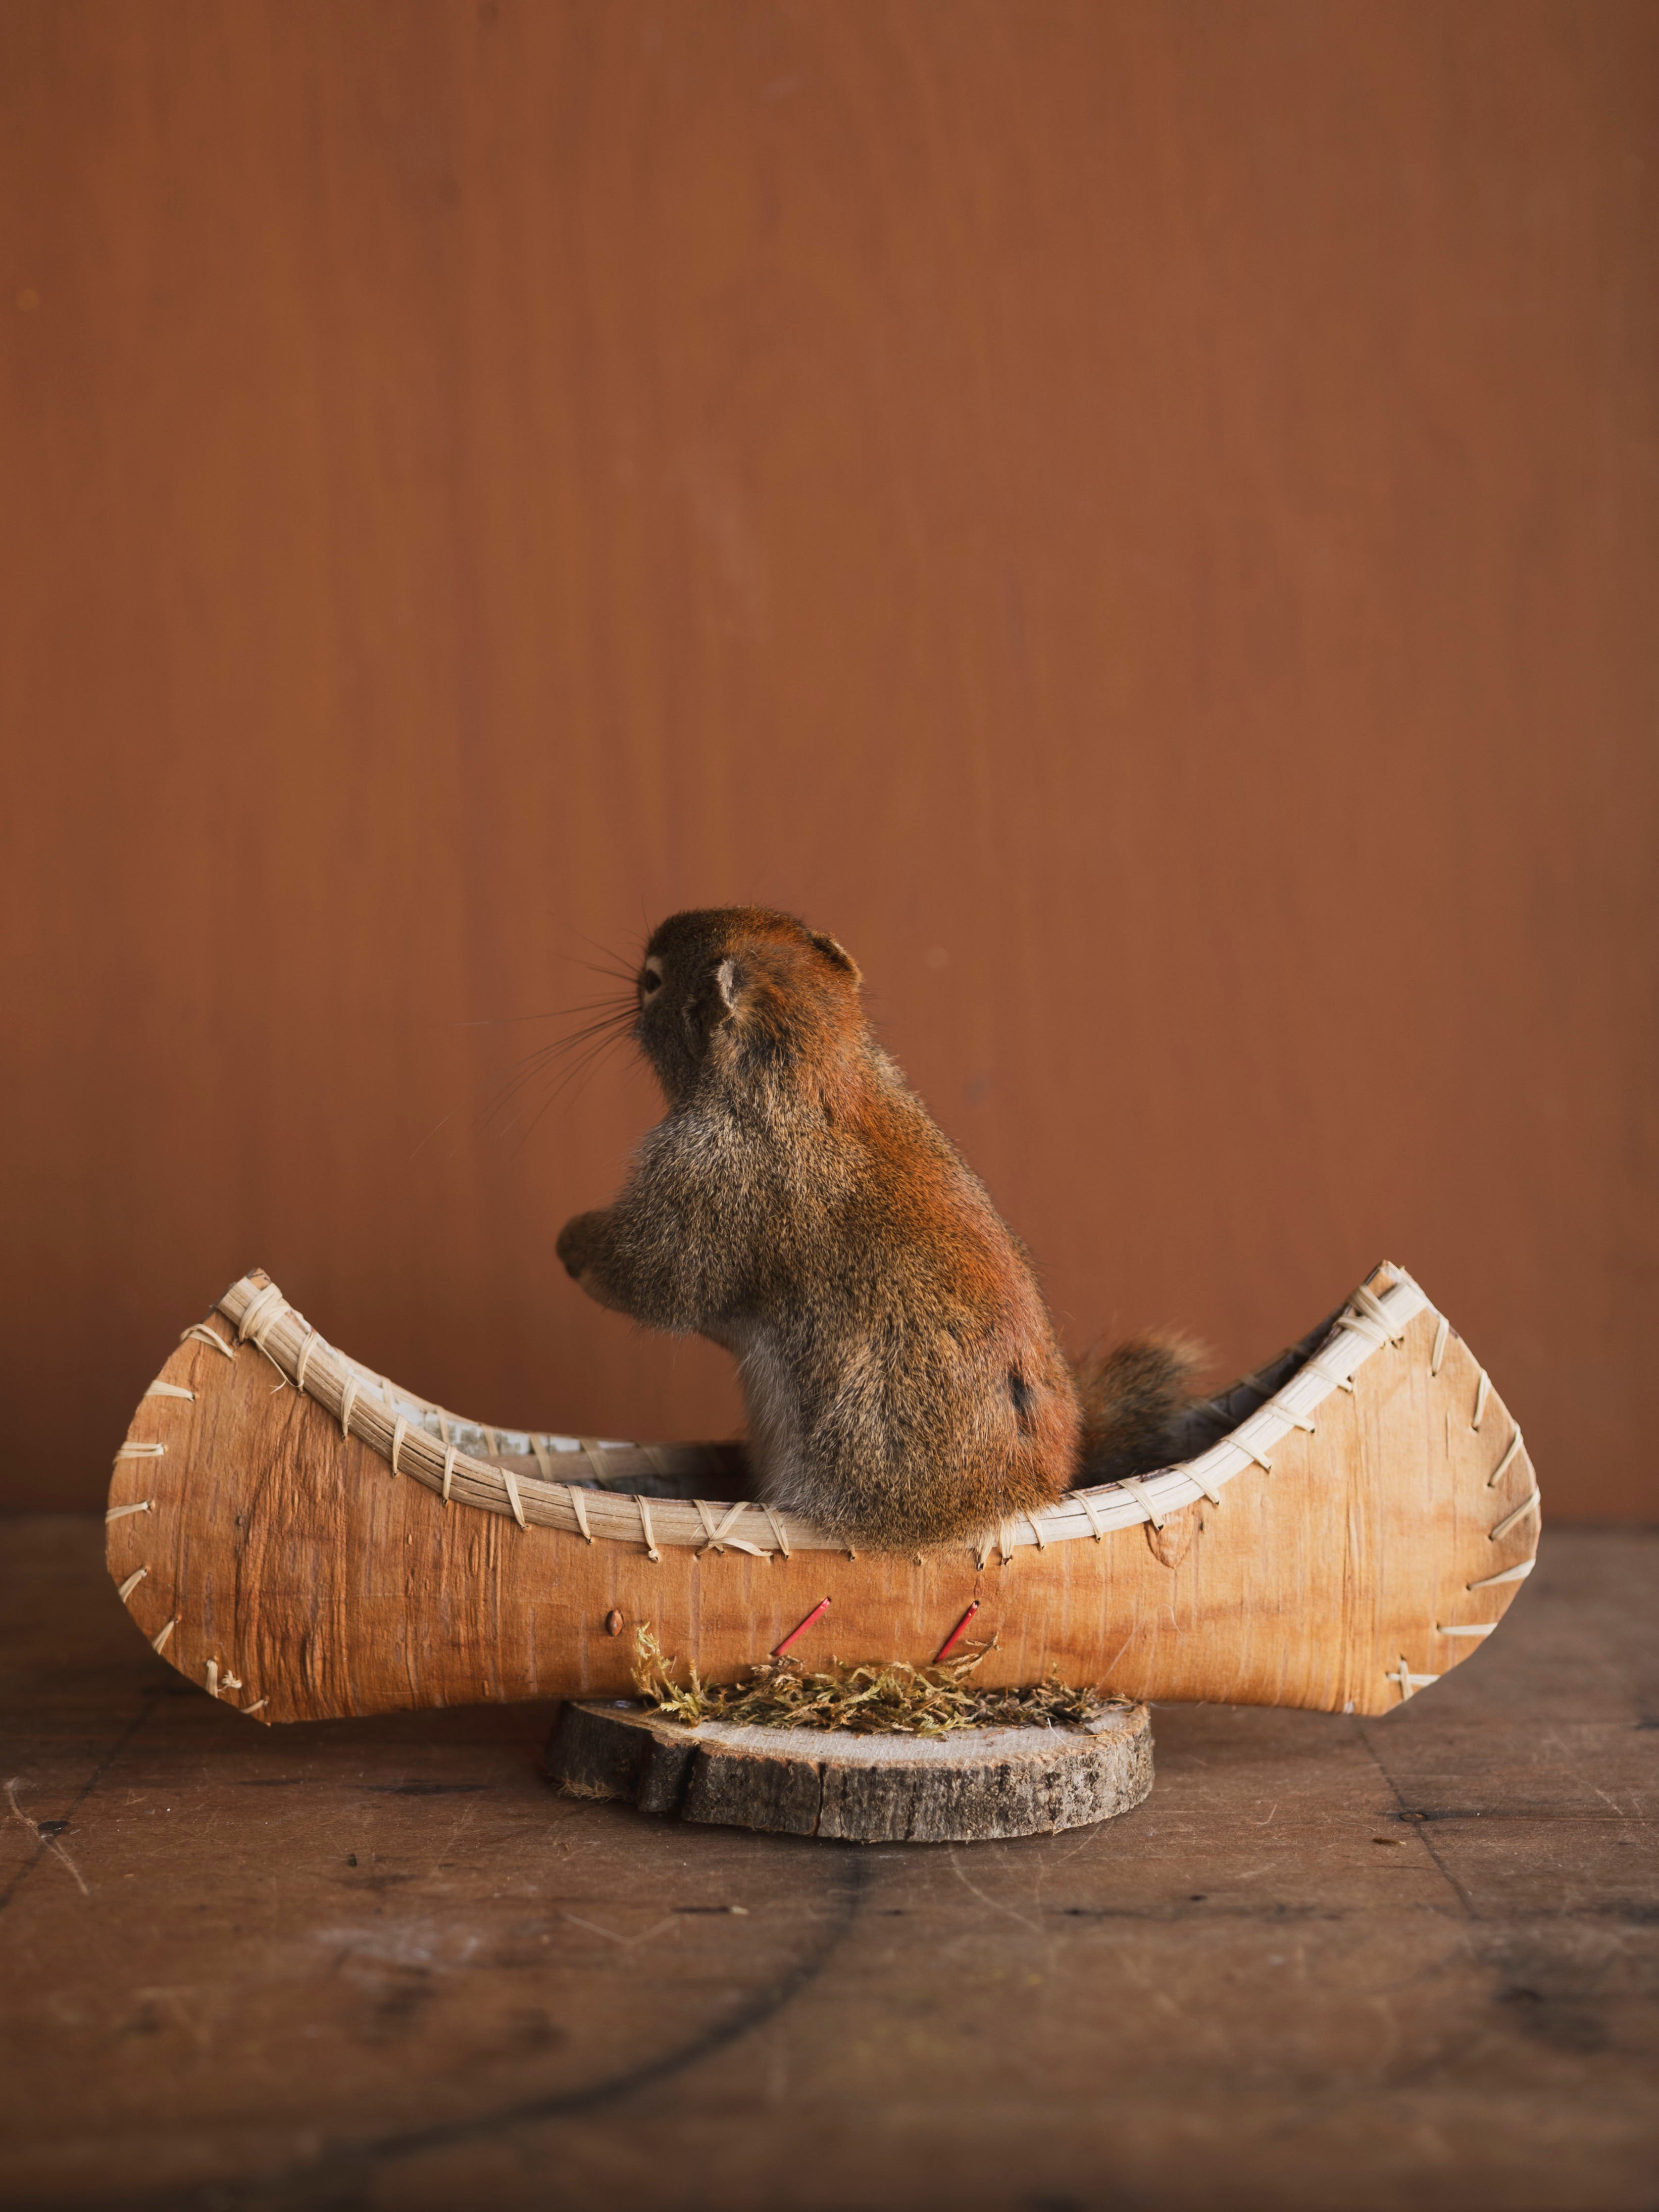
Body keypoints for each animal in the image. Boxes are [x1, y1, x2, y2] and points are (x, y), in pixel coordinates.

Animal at [556, 907, 1201, 1550]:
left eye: (653, 982)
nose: (632, 997)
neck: (806, 1073)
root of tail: (1028, 1489)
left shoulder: (710, 1175)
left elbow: (657, 1278)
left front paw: (574, 1242)